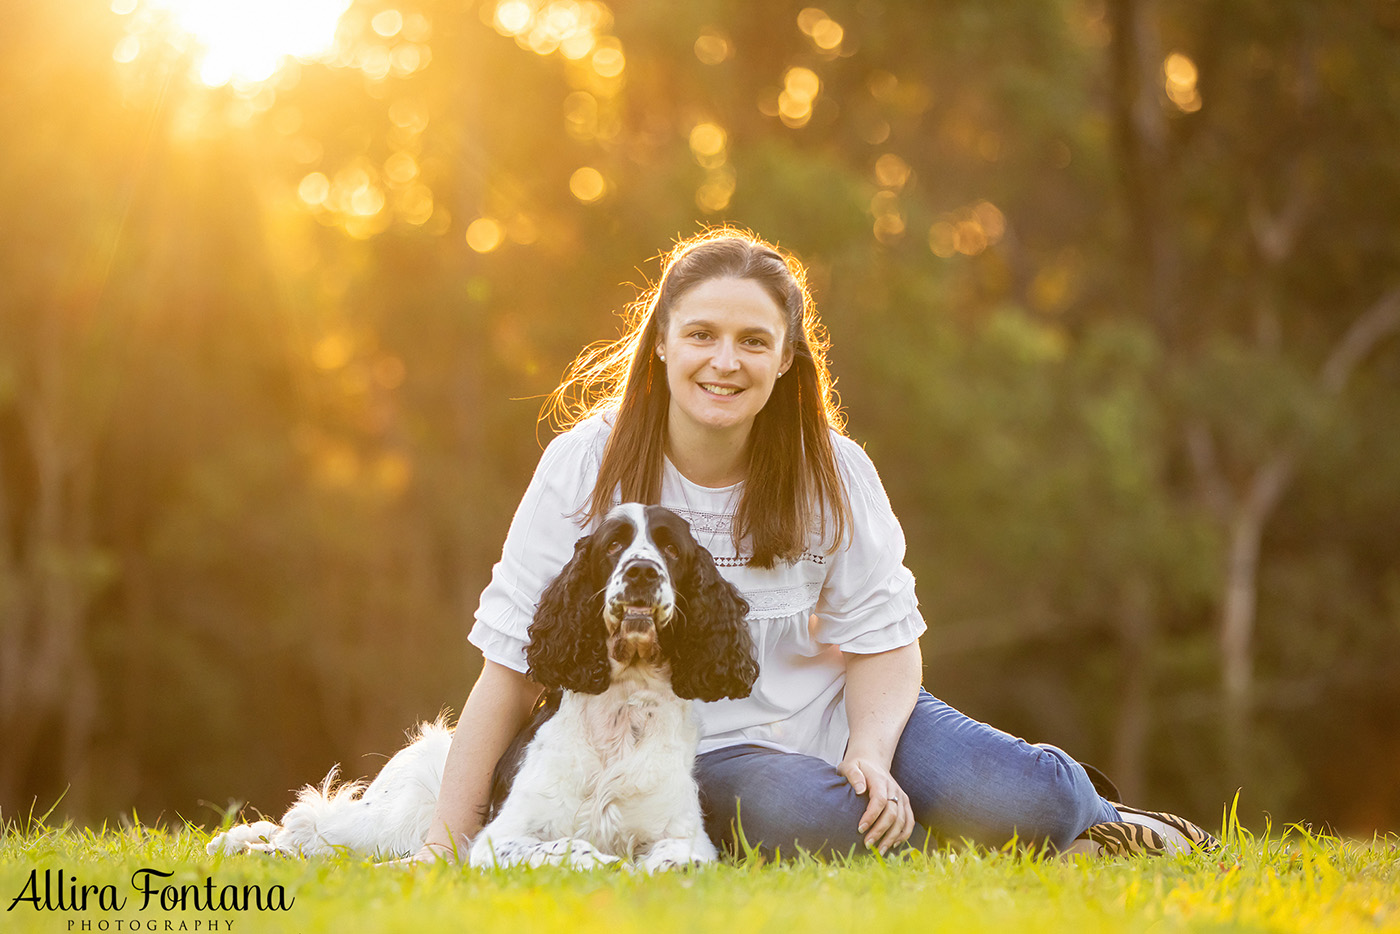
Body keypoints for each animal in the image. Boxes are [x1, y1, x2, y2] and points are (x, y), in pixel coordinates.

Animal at [207, 506, 756, 873]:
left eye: (670, 548)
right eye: (614, 547)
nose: (642, 571)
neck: (622, 713)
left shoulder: (685, 835)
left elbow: (677, 857)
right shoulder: (498, 839)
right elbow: (565, 846)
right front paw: (598, 861)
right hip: (393, 816)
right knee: (308, 824)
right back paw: (235, 844)